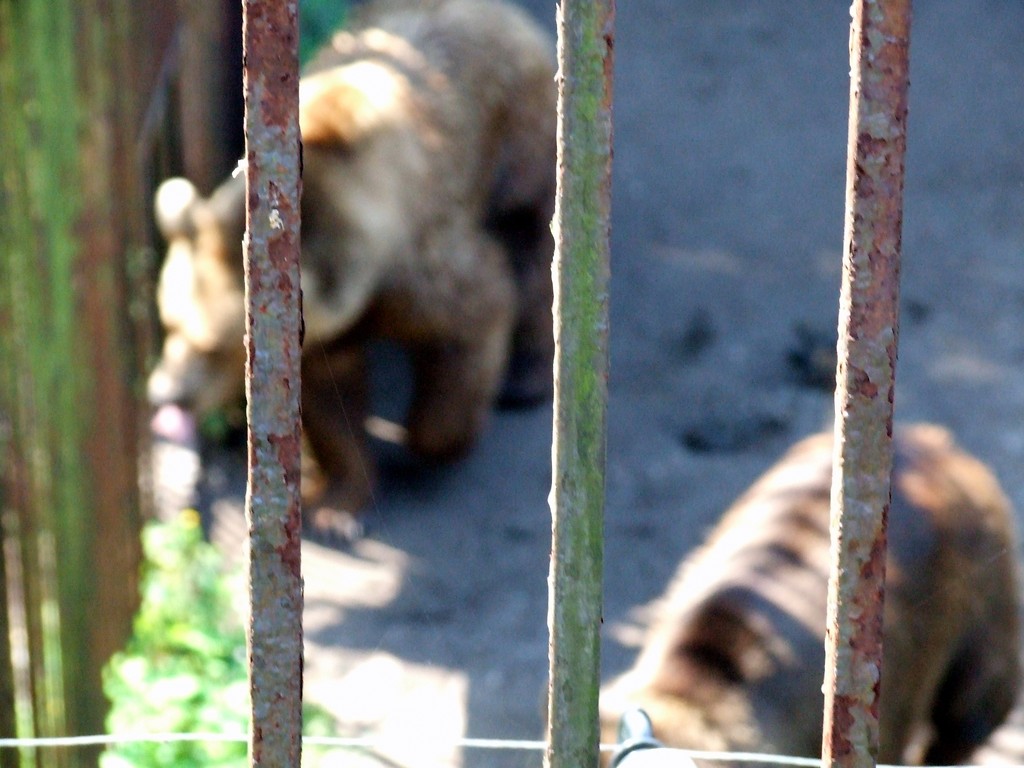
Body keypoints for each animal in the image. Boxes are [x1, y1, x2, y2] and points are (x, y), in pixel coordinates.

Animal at [148, 0, 557, 540]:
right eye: (169, 324)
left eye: (213, 346)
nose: (165, 394)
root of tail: (505, 15)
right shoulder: (321, 330)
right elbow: (330, 406)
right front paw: (336, 503)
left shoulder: (419, 264)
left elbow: (472, 318)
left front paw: (430, 440)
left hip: (516, 146)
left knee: (530, 243)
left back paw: (526, 377)